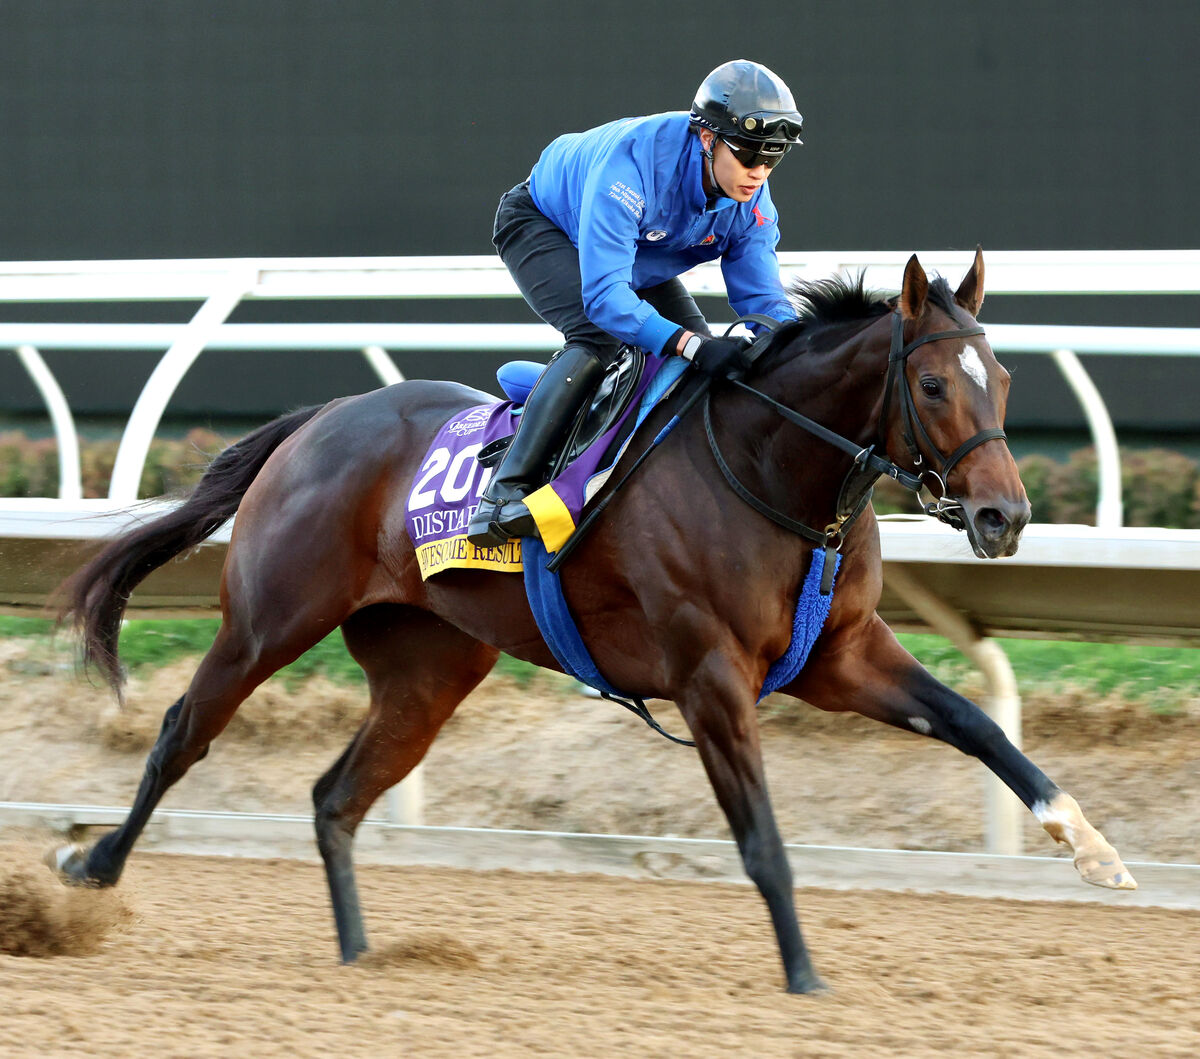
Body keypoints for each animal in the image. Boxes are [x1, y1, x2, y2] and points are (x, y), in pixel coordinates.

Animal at [49, 252, 1132, 994]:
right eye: (936, 384)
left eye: (1007, 382)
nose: (1003, 517)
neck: (772, 468)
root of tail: (321, 418)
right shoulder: (708, 677)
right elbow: (761, 837)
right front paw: (805, 975)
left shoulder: (843, 655)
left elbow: (979, 725)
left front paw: (1092, 847)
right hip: (269, 619)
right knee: (183, 733)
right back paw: (89, 863)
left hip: (429, 668)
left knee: (335, 796)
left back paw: (360, 955)